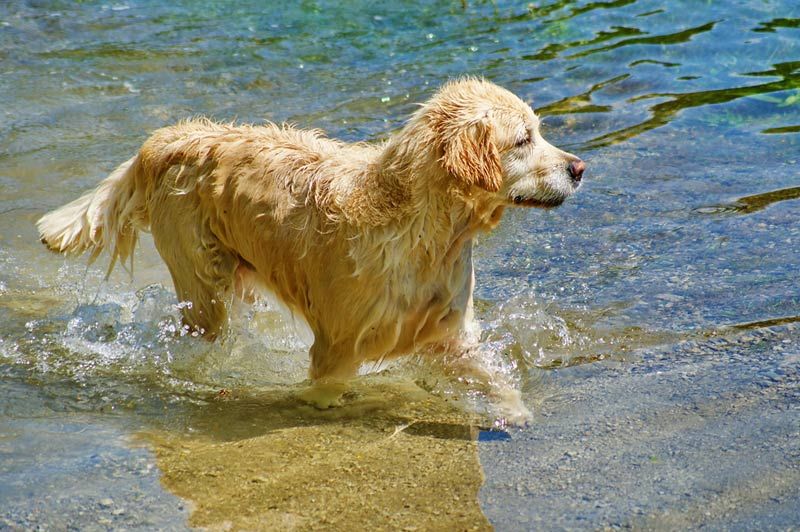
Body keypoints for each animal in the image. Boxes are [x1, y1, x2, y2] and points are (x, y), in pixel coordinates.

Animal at [37, 78, 584, 424]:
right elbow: (326, 387)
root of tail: (170, 136)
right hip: (204, 285)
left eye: (539, 132)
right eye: (523, 139)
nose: (579, 168)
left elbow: (490, 377)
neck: (430, 234)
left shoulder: (449, 334)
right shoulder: (336, 346)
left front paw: (515, 412)